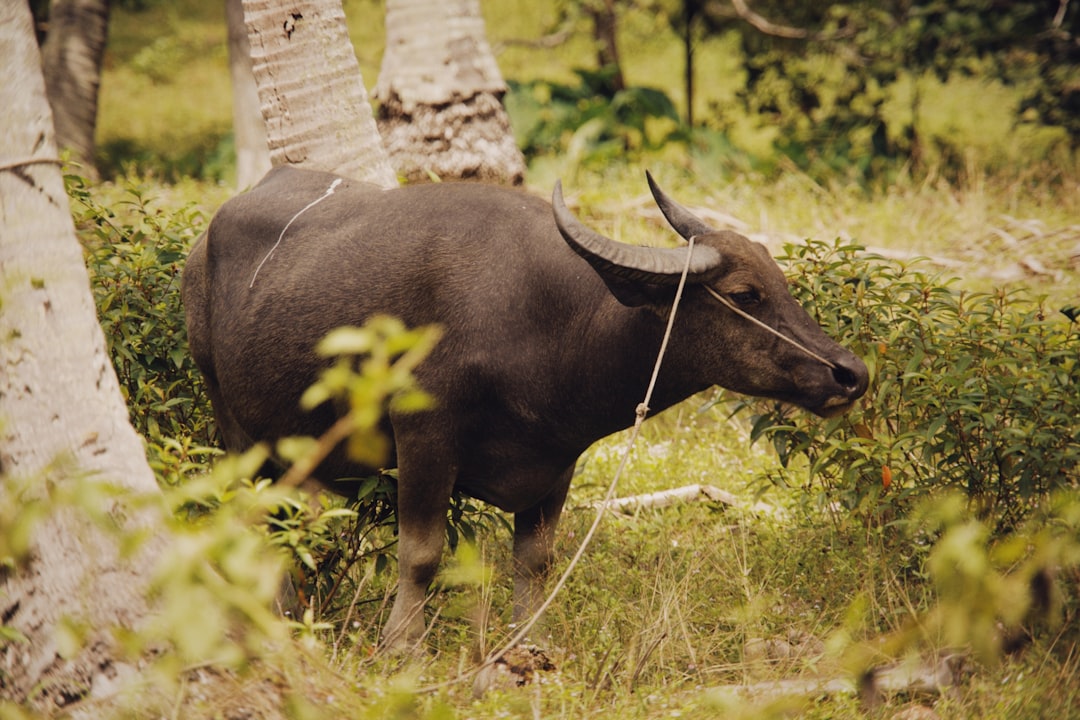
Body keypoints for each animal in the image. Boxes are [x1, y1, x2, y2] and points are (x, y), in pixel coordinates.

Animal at [179, 167, 868, 647]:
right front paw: (404, 648)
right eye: (746, 294)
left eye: (781, 283)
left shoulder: (557, 462)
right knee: (256, 520)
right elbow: (421, 552)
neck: (548, 325)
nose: (852, 373)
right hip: (234, 424)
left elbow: (535, 560)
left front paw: (528, 647)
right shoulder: (423, 436)